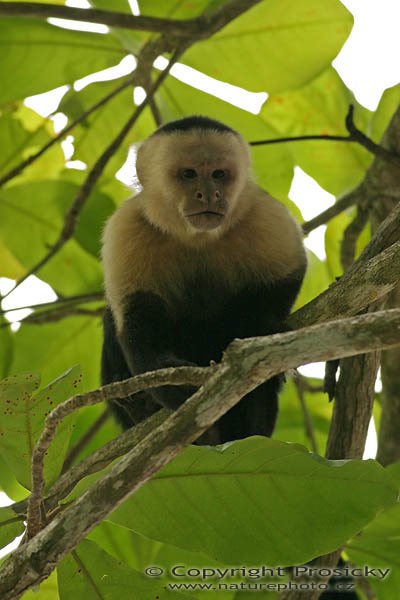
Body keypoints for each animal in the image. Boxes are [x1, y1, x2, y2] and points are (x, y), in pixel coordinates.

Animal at [101, 118, 306, 446]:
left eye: (219, 174)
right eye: (189, 174)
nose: (209, 195)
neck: (196, 238)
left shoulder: (262, 214)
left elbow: (288, 274)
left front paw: (258, 326)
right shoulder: (127, 227)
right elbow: (135, 317)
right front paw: (170, 381)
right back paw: (139, 405)